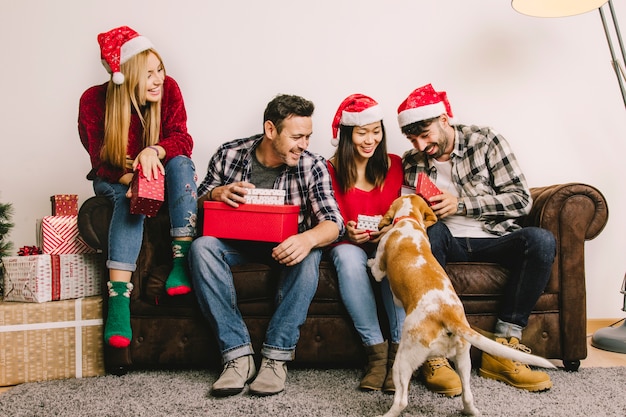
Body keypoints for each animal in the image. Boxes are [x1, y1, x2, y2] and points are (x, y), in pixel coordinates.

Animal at [366, 195, 552, 416]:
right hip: (464, 360)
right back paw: (471, 410)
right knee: (468, 396)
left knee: (401, 400)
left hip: (403, 360)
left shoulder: (380, 269)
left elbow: (376, 269)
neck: (408, 220)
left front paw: (369, 262)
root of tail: (448, 314)